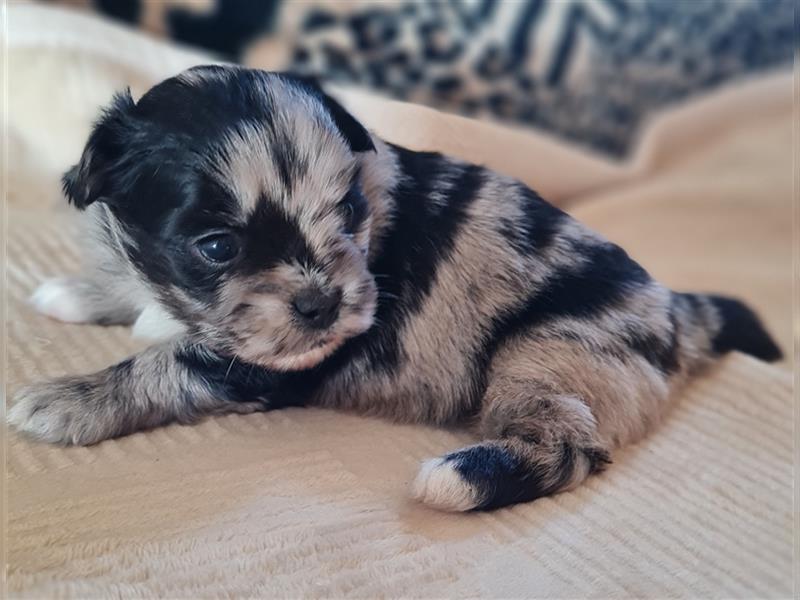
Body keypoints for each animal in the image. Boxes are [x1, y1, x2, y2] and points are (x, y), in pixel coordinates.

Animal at [7, 67, 780, 510]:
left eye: (348, 211)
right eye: (218, 247)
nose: (323, 306)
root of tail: (675, 312)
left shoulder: (272, 362)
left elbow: (170, 362)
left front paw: (69, 400)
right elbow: (142, 297)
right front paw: (81, 292)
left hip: (555, 347)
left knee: (567, 446)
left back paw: (462, 477)